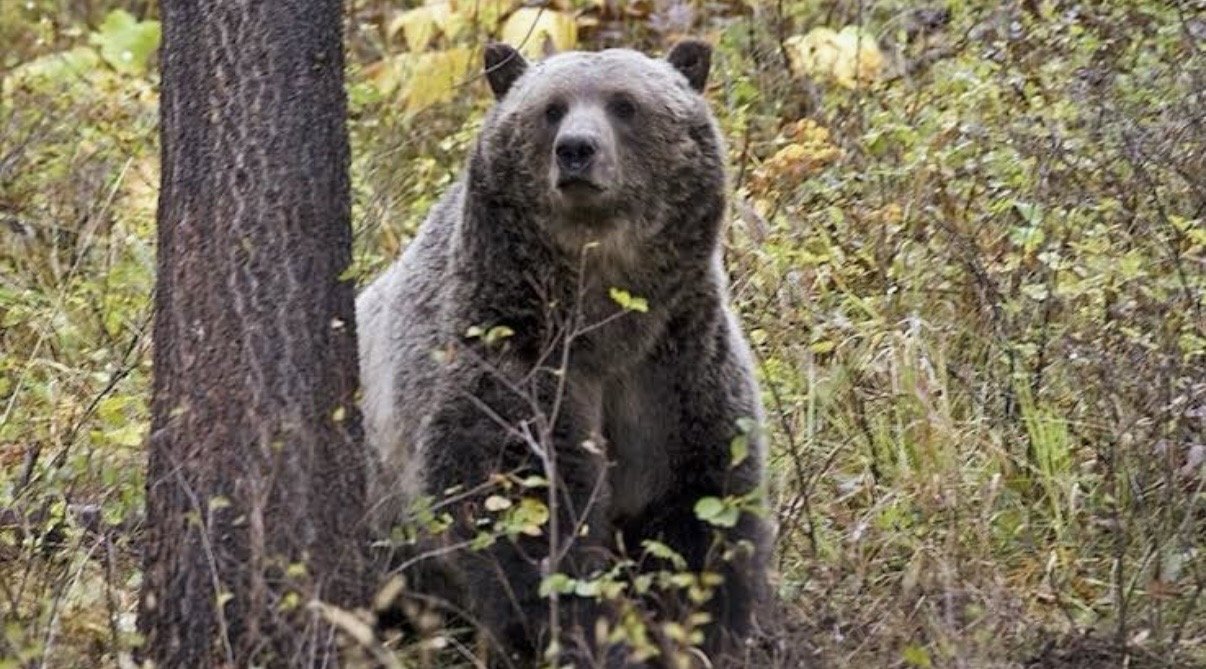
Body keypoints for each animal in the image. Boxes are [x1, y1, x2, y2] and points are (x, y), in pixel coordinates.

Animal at [356, 39, 771, 667]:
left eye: (625, 103)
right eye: (551, 108)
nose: (576, 150)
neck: (604, 316)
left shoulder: (675, 365)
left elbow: (701, 505)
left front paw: (705, 630)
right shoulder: (511, 353)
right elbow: (521, 511)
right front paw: (579, 632)